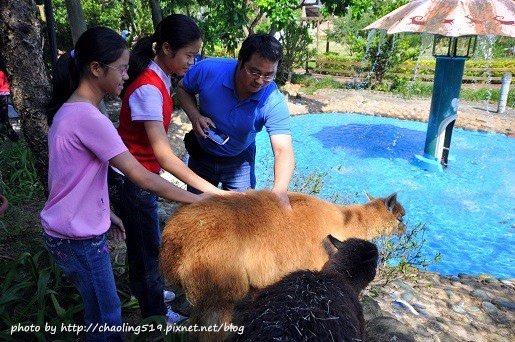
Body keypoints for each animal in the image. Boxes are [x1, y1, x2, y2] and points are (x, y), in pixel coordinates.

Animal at [159, 191, 406, 340]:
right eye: (401, 217)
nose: (404, 229)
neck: (343, 223)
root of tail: (174, 237)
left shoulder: (266, 278)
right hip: (217, 283)